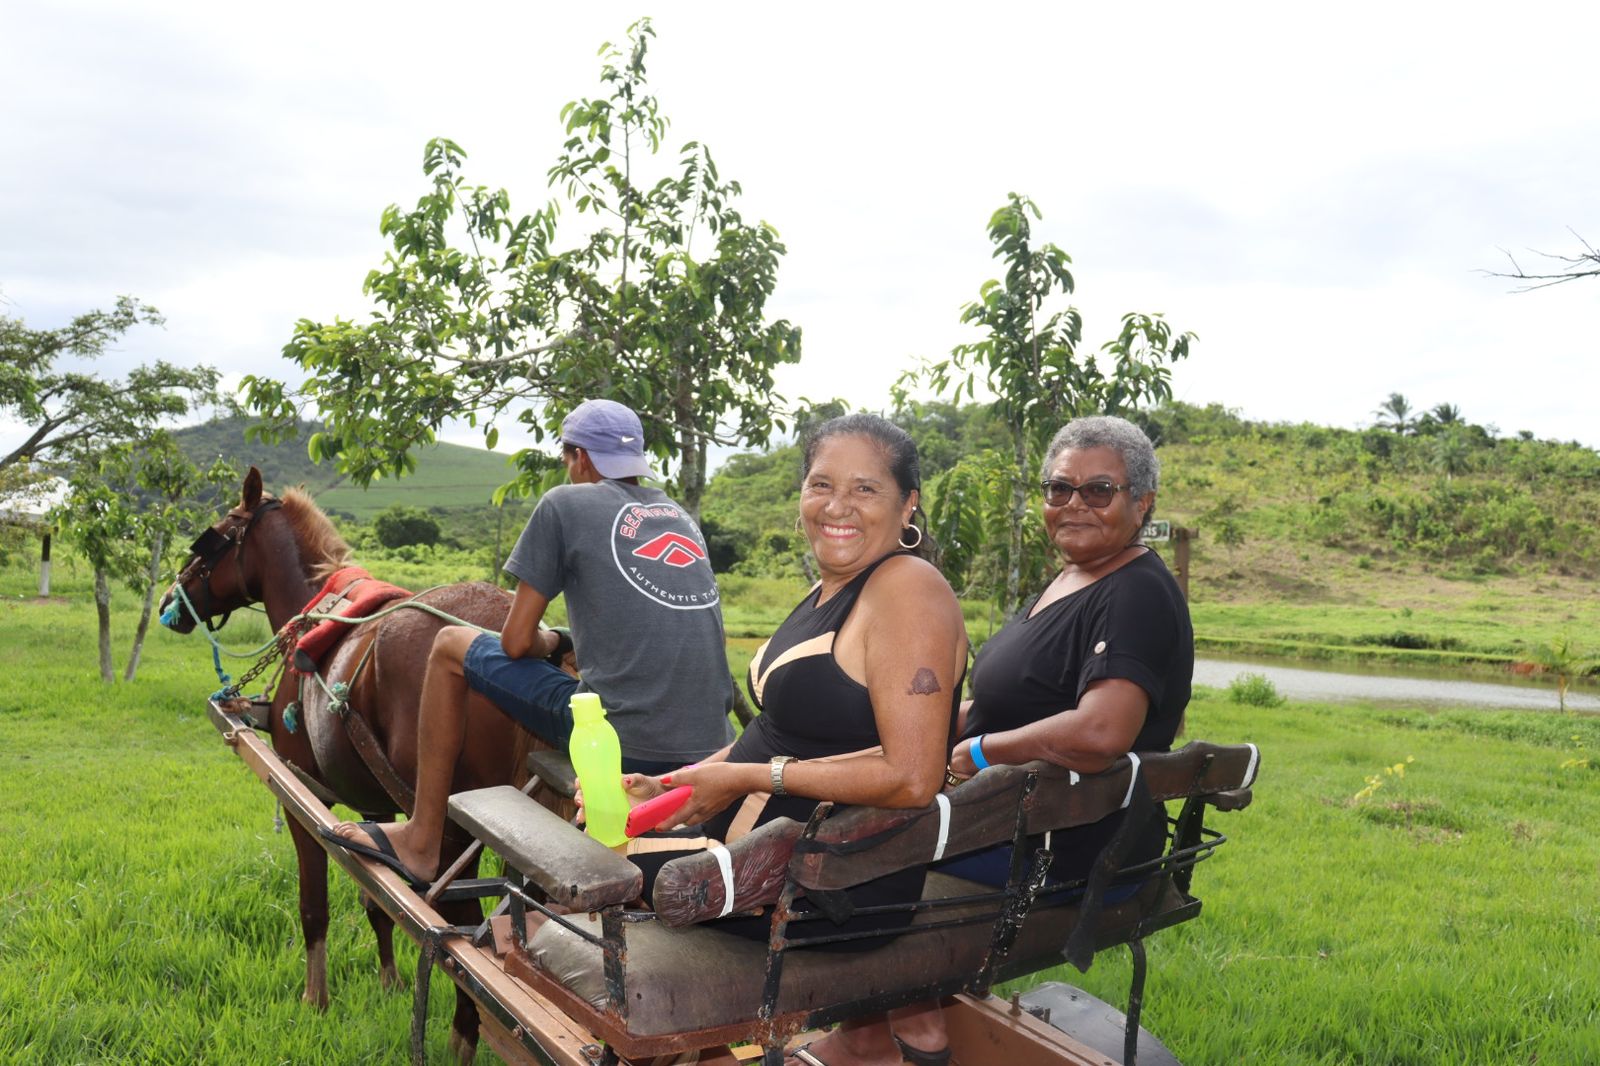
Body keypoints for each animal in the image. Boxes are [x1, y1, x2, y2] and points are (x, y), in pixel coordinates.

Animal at [162, 470, 524, 1056]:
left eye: (210, 540)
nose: (169, 598)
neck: (318, 610)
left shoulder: (306, 797)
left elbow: (315, 905)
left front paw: (316, 998)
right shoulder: (374, 805)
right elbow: (379, 901)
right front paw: (390, 980)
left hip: (454, 838)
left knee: (466, 940)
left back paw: (464, 1035)